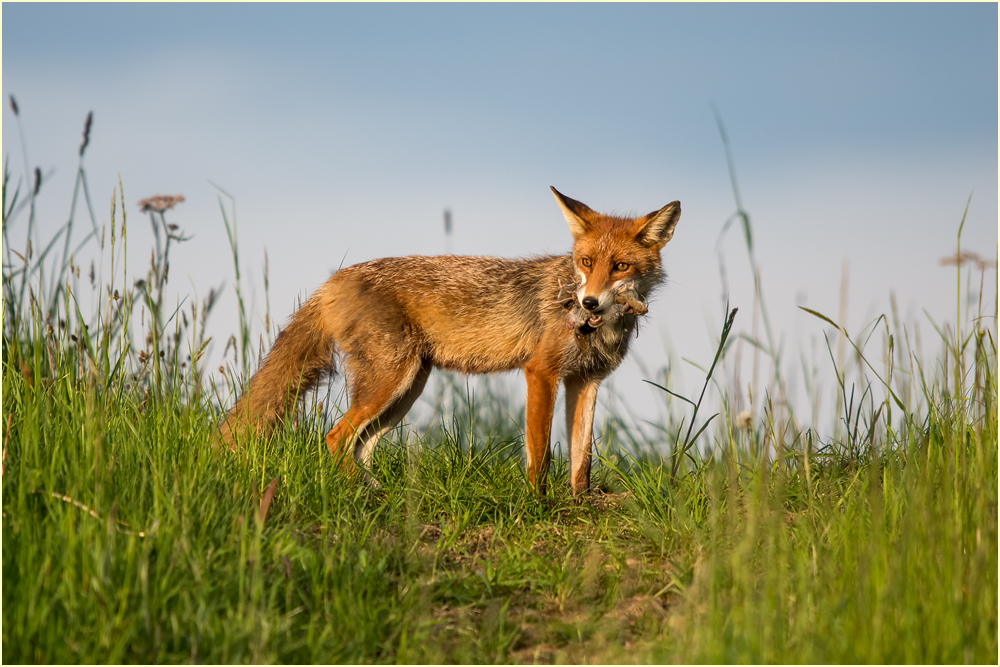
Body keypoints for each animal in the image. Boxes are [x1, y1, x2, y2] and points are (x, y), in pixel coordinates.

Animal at [221, 188, 680, 496]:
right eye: (586, 262)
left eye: (620, 266)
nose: (587, 302)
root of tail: (336, 278)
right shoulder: (542, 373)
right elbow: (541, 452)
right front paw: (538, 502)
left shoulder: (586, 381)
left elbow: (581, 457)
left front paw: (579, 503)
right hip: (390, 381)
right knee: (335, 439)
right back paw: (367, 492)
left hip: (405, 391)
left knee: (359, 447)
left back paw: (376, 491)